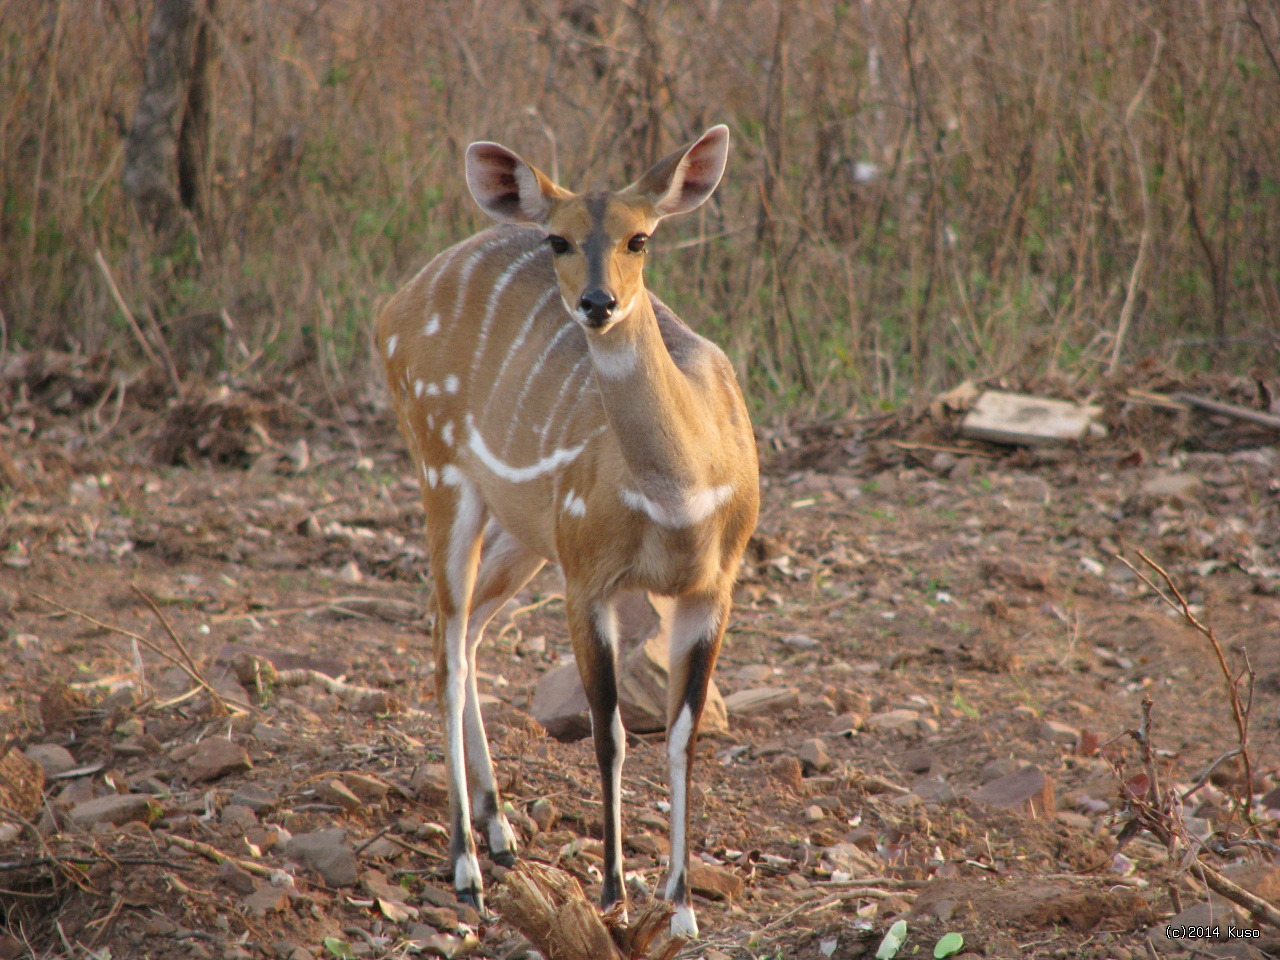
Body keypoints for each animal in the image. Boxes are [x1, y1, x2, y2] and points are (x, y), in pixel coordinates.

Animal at [378, 128, 757, 942]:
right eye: (558, 238)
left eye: (640, 238)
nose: (596, 303)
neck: (681, 493)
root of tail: (393, 304)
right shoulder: (589, 577)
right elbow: (609, 729)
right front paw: (615, 895)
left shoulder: (713, 588)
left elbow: (683, 731)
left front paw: (682, 908)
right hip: (443, 472)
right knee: (446, 643)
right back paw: (466, 868)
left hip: (524, 534)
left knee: (466, 632)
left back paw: (501, 833)